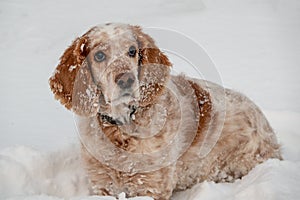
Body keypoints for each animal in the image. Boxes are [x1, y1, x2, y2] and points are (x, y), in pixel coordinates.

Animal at [48, 23, 282, 200]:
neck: (122, 129)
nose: (126, 80)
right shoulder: (102, 184)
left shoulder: (151, 186)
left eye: (132, 51)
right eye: (99, 56)